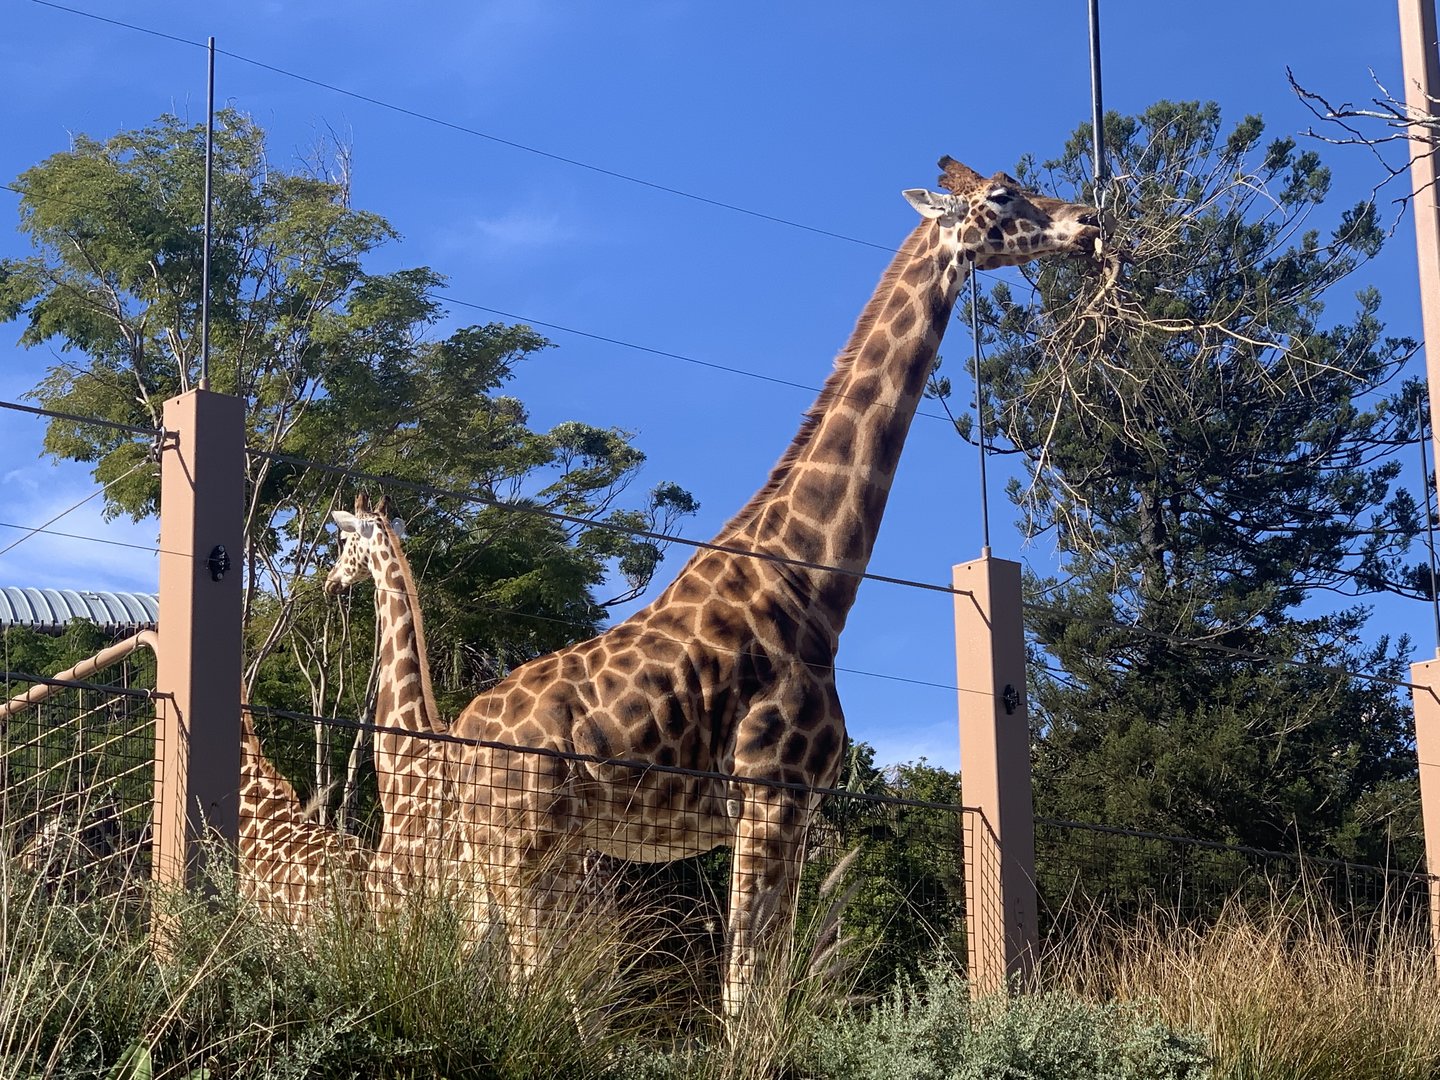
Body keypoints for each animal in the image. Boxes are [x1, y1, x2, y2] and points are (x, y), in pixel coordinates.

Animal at [449, 157, 1104, 1011]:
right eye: (1000, 196)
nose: (1089, 222)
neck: (812, 581)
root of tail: (457, 748)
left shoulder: (793, 808)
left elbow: (766, 985)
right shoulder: (771, 793)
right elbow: (745, 994)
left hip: (487, 859)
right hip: (524, 848)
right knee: (525, 989)